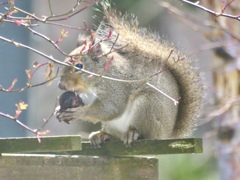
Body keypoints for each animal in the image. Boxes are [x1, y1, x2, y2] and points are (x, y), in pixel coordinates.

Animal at [55, 2, 202, 147]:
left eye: (79, 66)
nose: (61, 85)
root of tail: (167, 134)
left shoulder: (116, 87)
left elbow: (109, 108)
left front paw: (78, 112)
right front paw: (58, 110)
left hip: (147, 106)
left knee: (144, 133)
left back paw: (133, 133)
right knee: (116, 136)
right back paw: (102, 135)